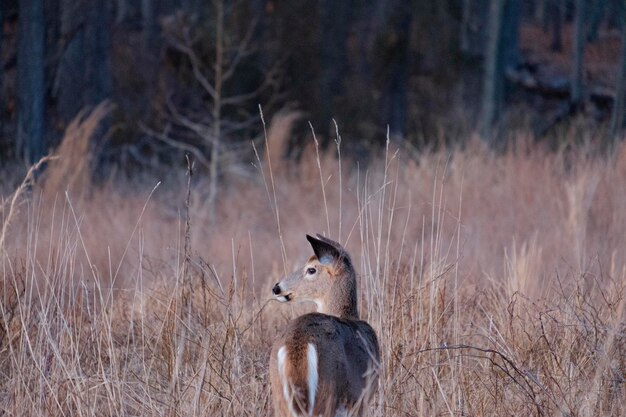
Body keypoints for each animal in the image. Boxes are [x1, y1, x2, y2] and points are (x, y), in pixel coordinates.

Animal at [266, 234, 378, 416]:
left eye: (311, 269)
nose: (277, 288)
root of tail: (298, 345)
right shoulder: (360, 401)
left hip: (279, 397)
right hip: (327, 394)